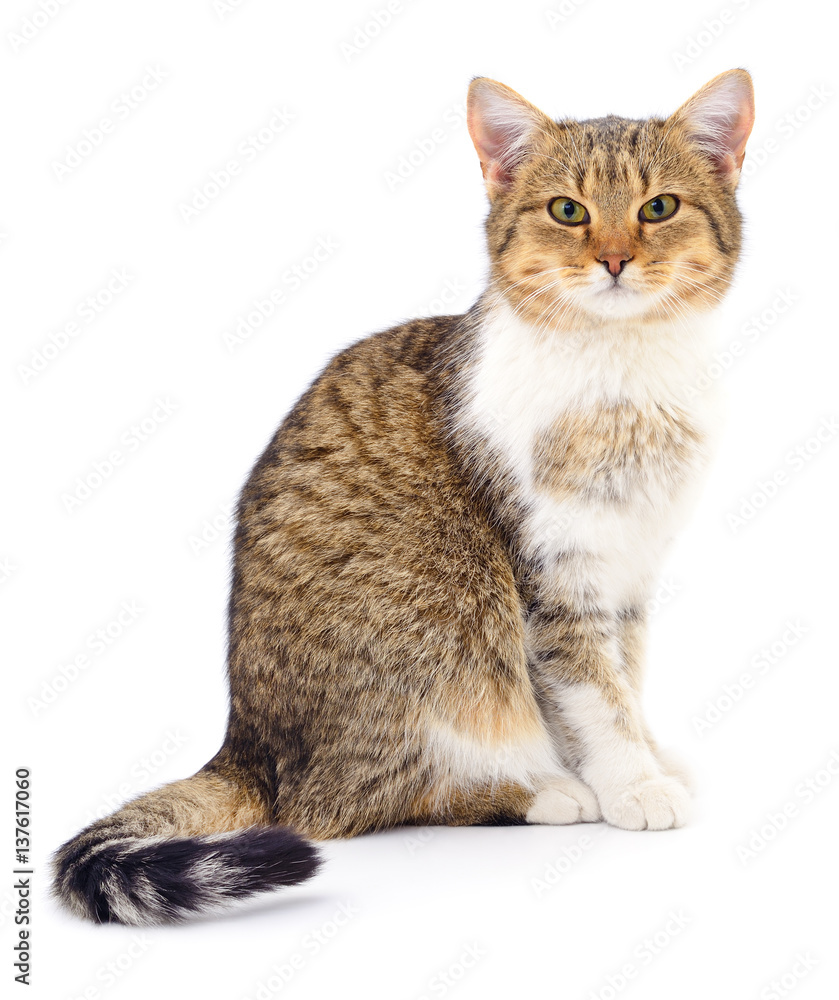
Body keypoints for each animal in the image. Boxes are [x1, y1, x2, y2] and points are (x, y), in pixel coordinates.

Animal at [55, 70, 756, 924]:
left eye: (658, 208)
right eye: (568, 211)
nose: (616, 258)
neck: (620, 373)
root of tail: (245, 744)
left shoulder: (628, 572)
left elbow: (625, 679)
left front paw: (647, 757)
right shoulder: (553, 581)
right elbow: (592, 693)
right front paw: (629, 782)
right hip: (434, 648)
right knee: (341, 804)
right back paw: (537, 792)